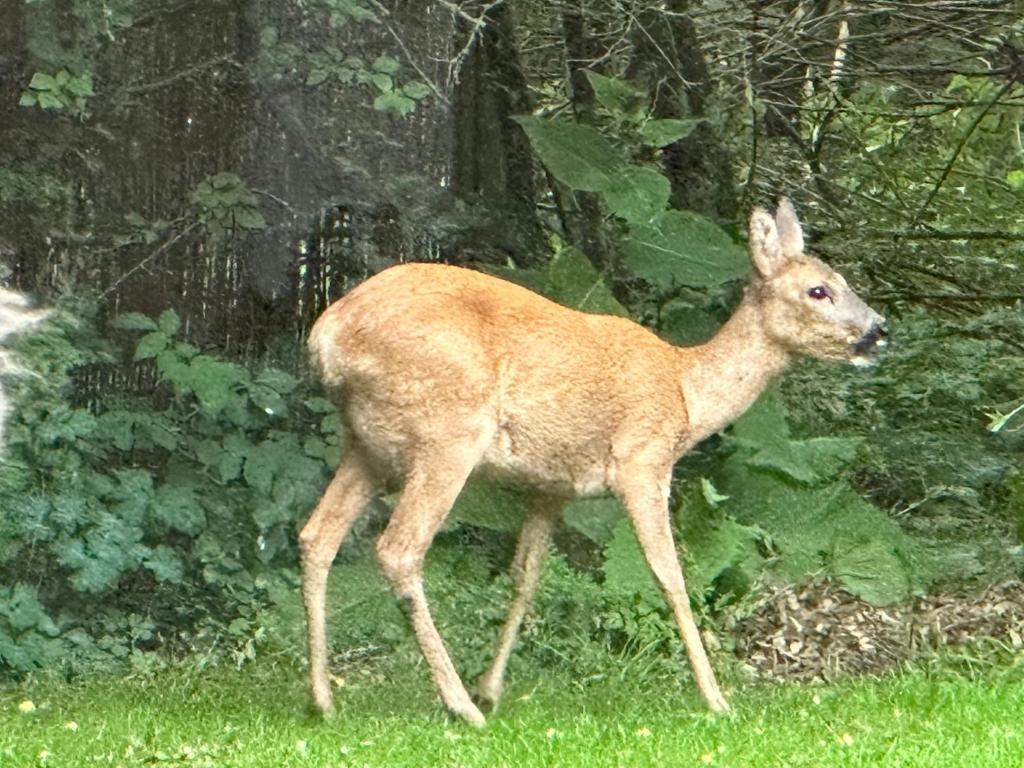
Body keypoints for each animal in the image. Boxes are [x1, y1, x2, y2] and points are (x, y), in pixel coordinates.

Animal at [299, 198, 888, 729]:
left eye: (841, 280)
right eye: (819, 290)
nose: (879, 330)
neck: (686, 394)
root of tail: (326, 336)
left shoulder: (552, 486)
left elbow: (526, 576)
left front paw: (492, 687)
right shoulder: (643, 460)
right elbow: (671, 575)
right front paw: (716, 699)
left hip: (367, 445)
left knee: (316, 536)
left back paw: (324, 700)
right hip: (446, 431)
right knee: (399, 550)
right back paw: (458, 707)